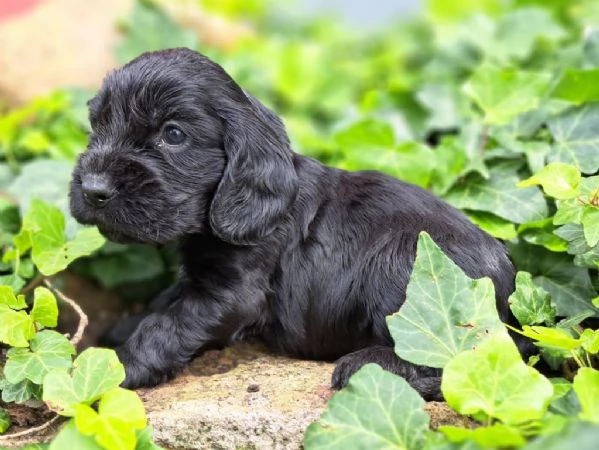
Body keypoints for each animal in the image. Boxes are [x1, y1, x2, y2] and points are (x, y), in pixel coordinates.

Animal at [69, 48, 524, 400]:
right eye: (98, 124)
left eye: (174, 134)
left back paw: (365, 366)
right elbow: (164, 300)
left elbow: (166, 325)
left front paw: (112, 367)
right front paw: (121, 330)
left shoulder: (231, 293)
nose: (92, 190)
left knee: (453, 357)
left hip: (403, 256)